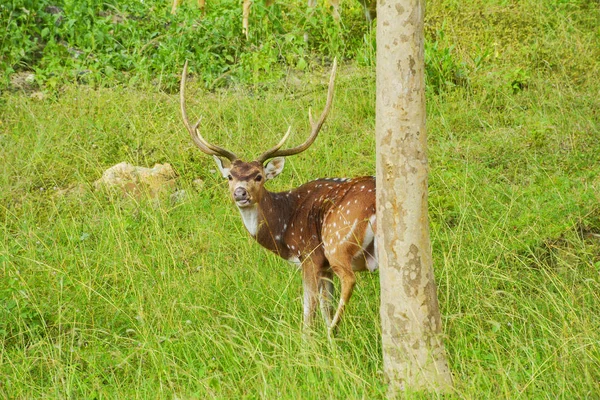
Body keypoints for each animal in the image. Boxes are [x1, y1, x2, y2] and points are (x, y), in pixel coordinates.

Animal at [178, 59, 378, 334]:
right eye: (229, 176)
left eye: (259, 176)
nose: (240, 193)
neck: (285, 224)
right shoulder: (322, 266)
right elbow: (324, 305)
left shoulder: (310, 254)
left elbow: (309, 309)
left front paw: (310, 339)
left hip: (336, 238)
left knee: (349, 279)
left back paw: (332, 330)